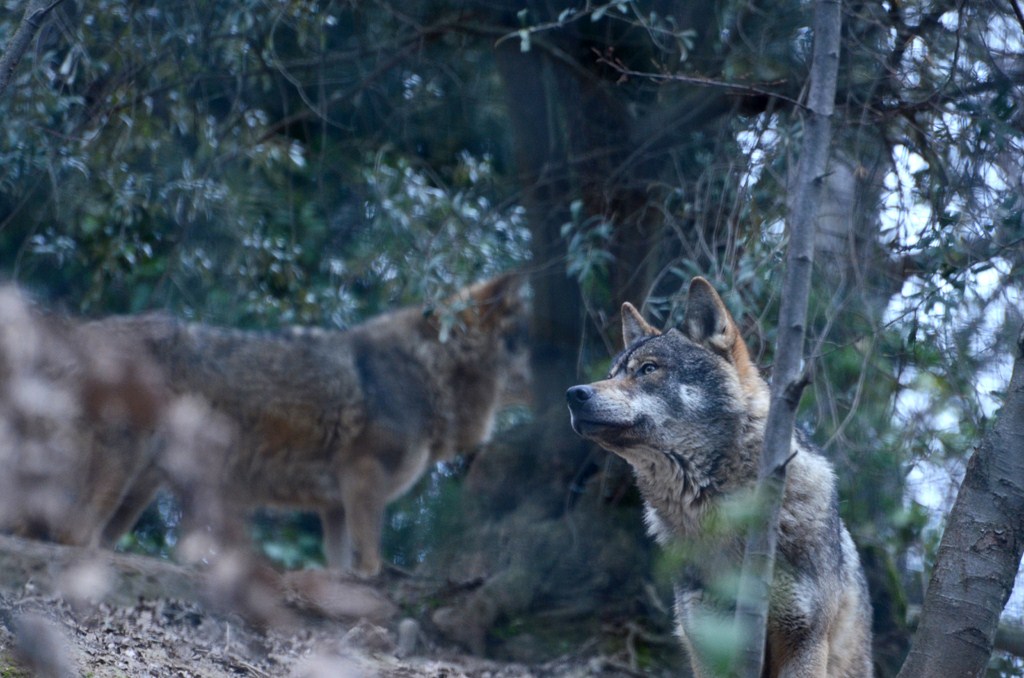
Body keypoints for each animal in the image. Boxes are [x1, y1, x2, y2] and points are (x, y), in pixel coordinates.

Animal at [87, 274, 529, 576]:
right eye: (534, 346)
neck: (429, 370)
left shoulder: (334, 506)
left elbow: (341, 568)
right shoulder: (364, 477)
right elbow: (370, 564)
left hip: (138, 491)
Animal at [566, 277, 872, 678]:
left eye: (648, 369)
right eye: (612, 374)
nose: (574, 394)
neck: (722, 516)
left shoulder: (804, 639)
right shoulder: (710, 644)